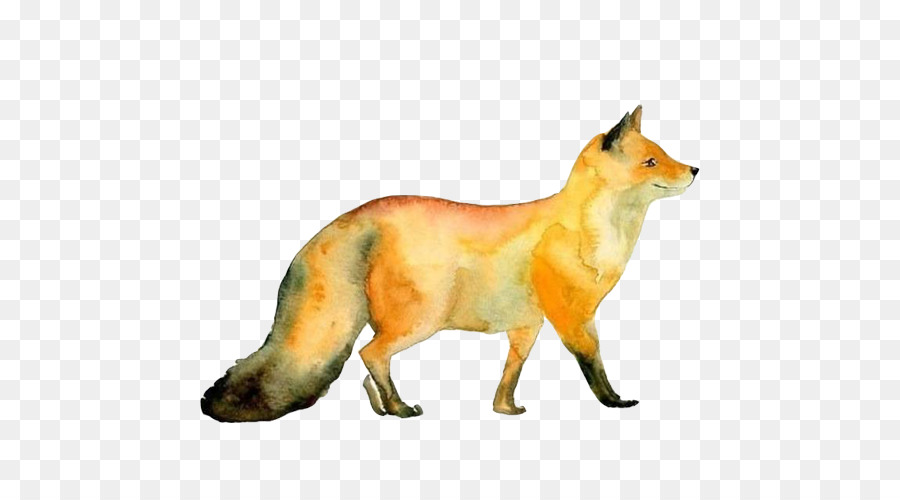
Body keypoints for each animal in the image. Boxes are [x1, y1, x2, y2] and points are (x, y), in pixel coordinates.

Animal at [200, 105, 698, 421]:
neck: (592, 234)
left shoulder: (528, 326)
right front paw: (614, 403)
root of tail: (354, 216)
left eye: (666, 155)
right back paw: (400, 409)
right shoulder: (571, 319)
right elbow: (595, 369)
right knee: (369, 354)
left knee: (367, 370)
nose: (694, 169)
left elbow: (510, 375)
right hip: (422, 320)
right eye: (651, 161)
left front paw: (504, 410)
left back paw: (384, 407)